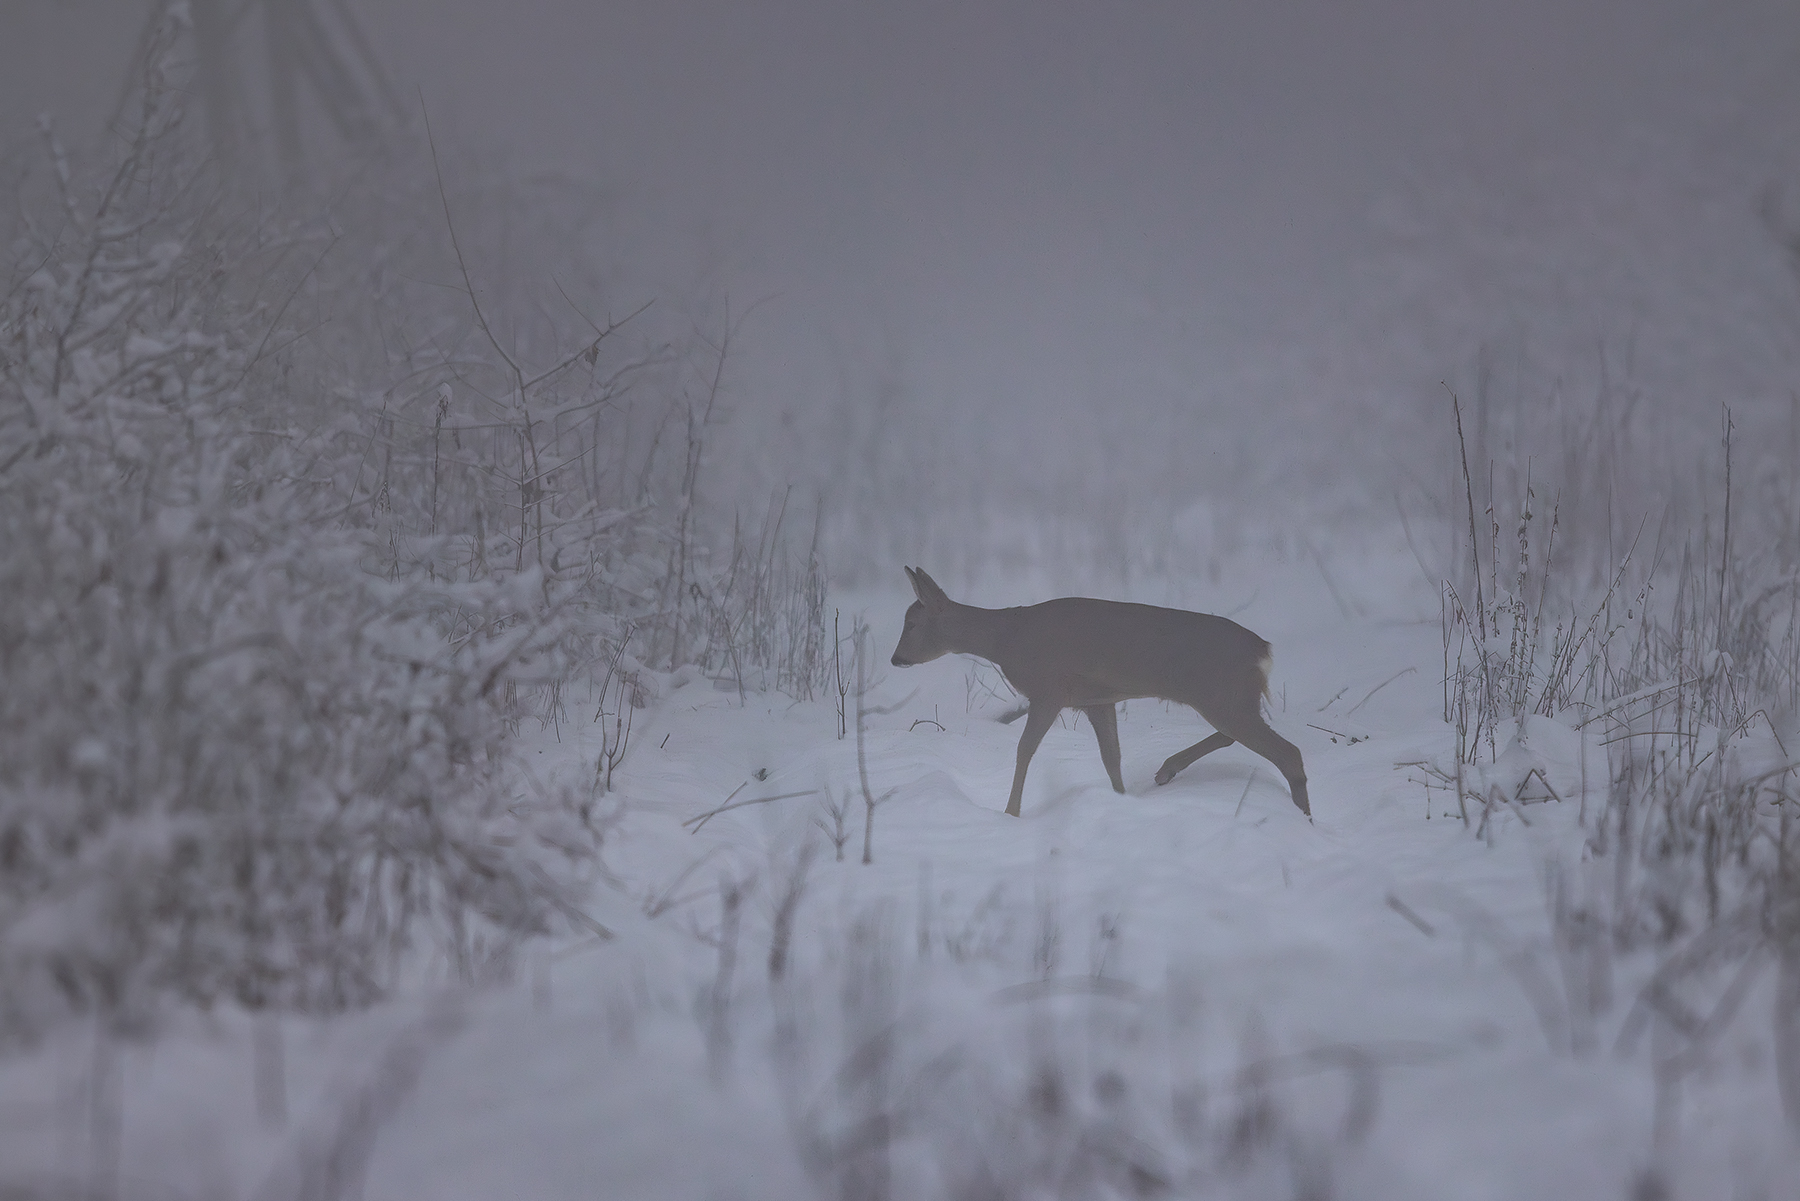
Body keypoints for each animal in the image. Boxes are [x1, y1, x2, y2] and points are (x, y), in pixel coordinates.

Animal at [889, 567, 1309, 819]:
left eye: (911, 624)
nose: (896, 659)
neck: (1006, 639)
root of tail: (1263, 651)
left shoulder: (1049, 689)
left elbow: (1024, 750)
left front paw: (1010, 813)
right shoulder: (1096, 700)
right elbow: (1111, 757)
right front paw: (1121, 800)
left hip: (1224, 695)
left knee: (1288, 753)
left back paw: (1304, 818)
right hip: (1229, 698)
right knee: (1235, 737)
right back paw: (1166, 770)